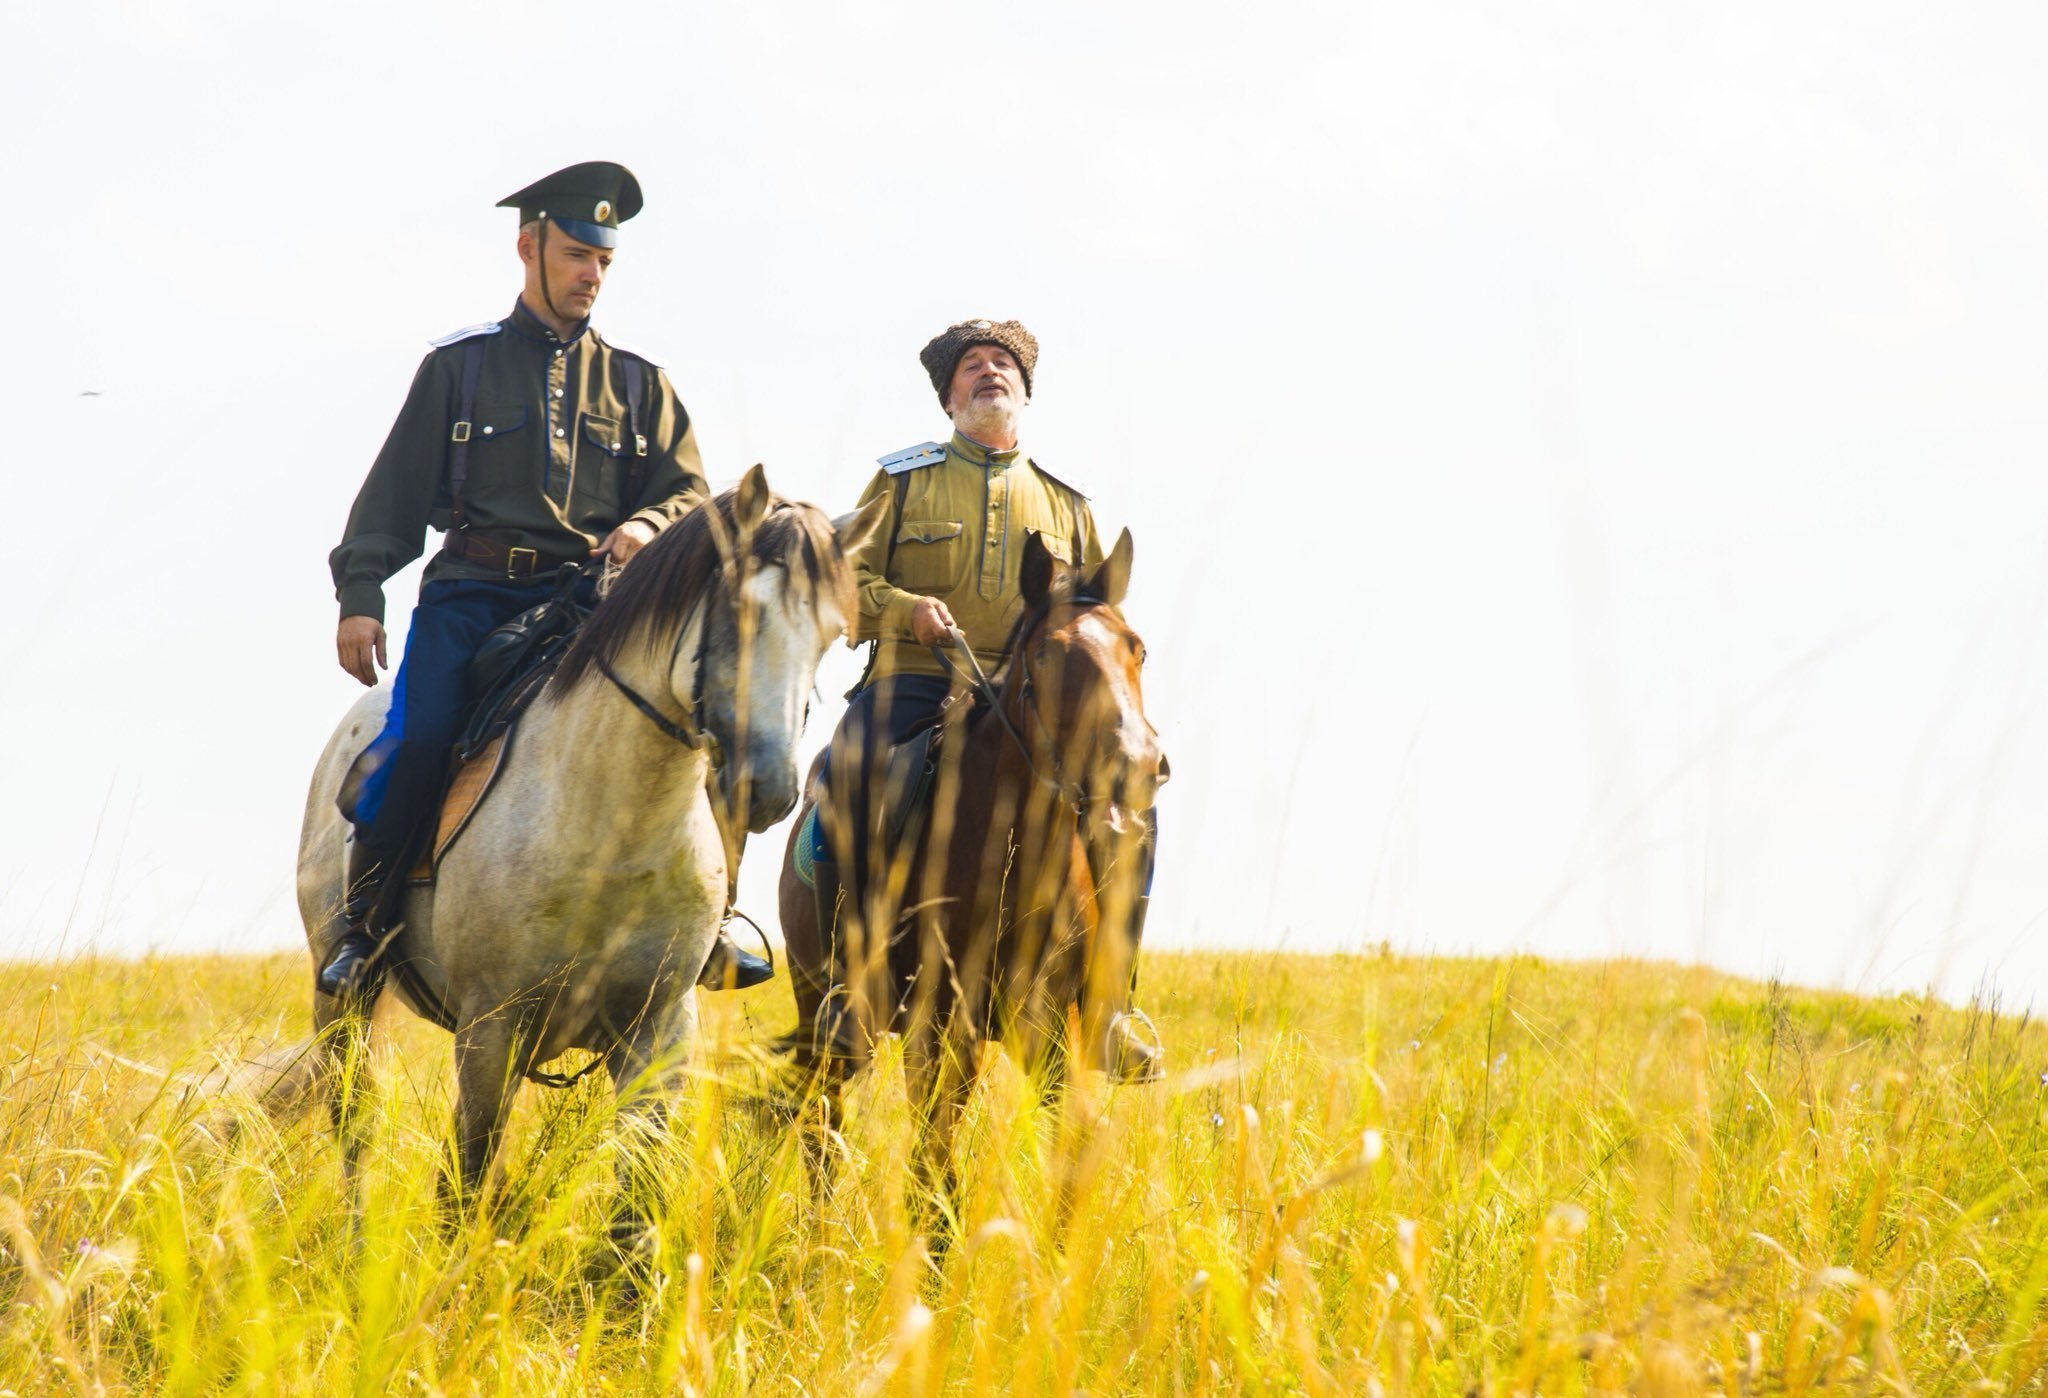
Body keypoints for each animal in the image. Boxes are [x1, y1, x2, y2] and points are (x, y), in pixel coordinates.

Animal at [290, 470, 888, 1236]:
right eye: (740, 610)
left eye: (831, 635)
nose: (771, 789)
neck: (612, 831)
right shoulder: (489, 1030)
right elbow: (466, 1183)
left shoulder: (658, 1033)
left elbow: (634, 1201)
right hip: (343, 1007)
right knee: (354, 1126)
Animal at [774, 532, 1171, 1178]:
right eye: (1048, 654)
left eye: (1137, 650)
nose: (1136, 765)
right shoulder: (939, 1025)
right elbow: (933, 1163)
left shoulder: (1049, 1027)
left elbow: (1071, 1147)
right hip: (823, 1008)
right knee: (821, 1131)